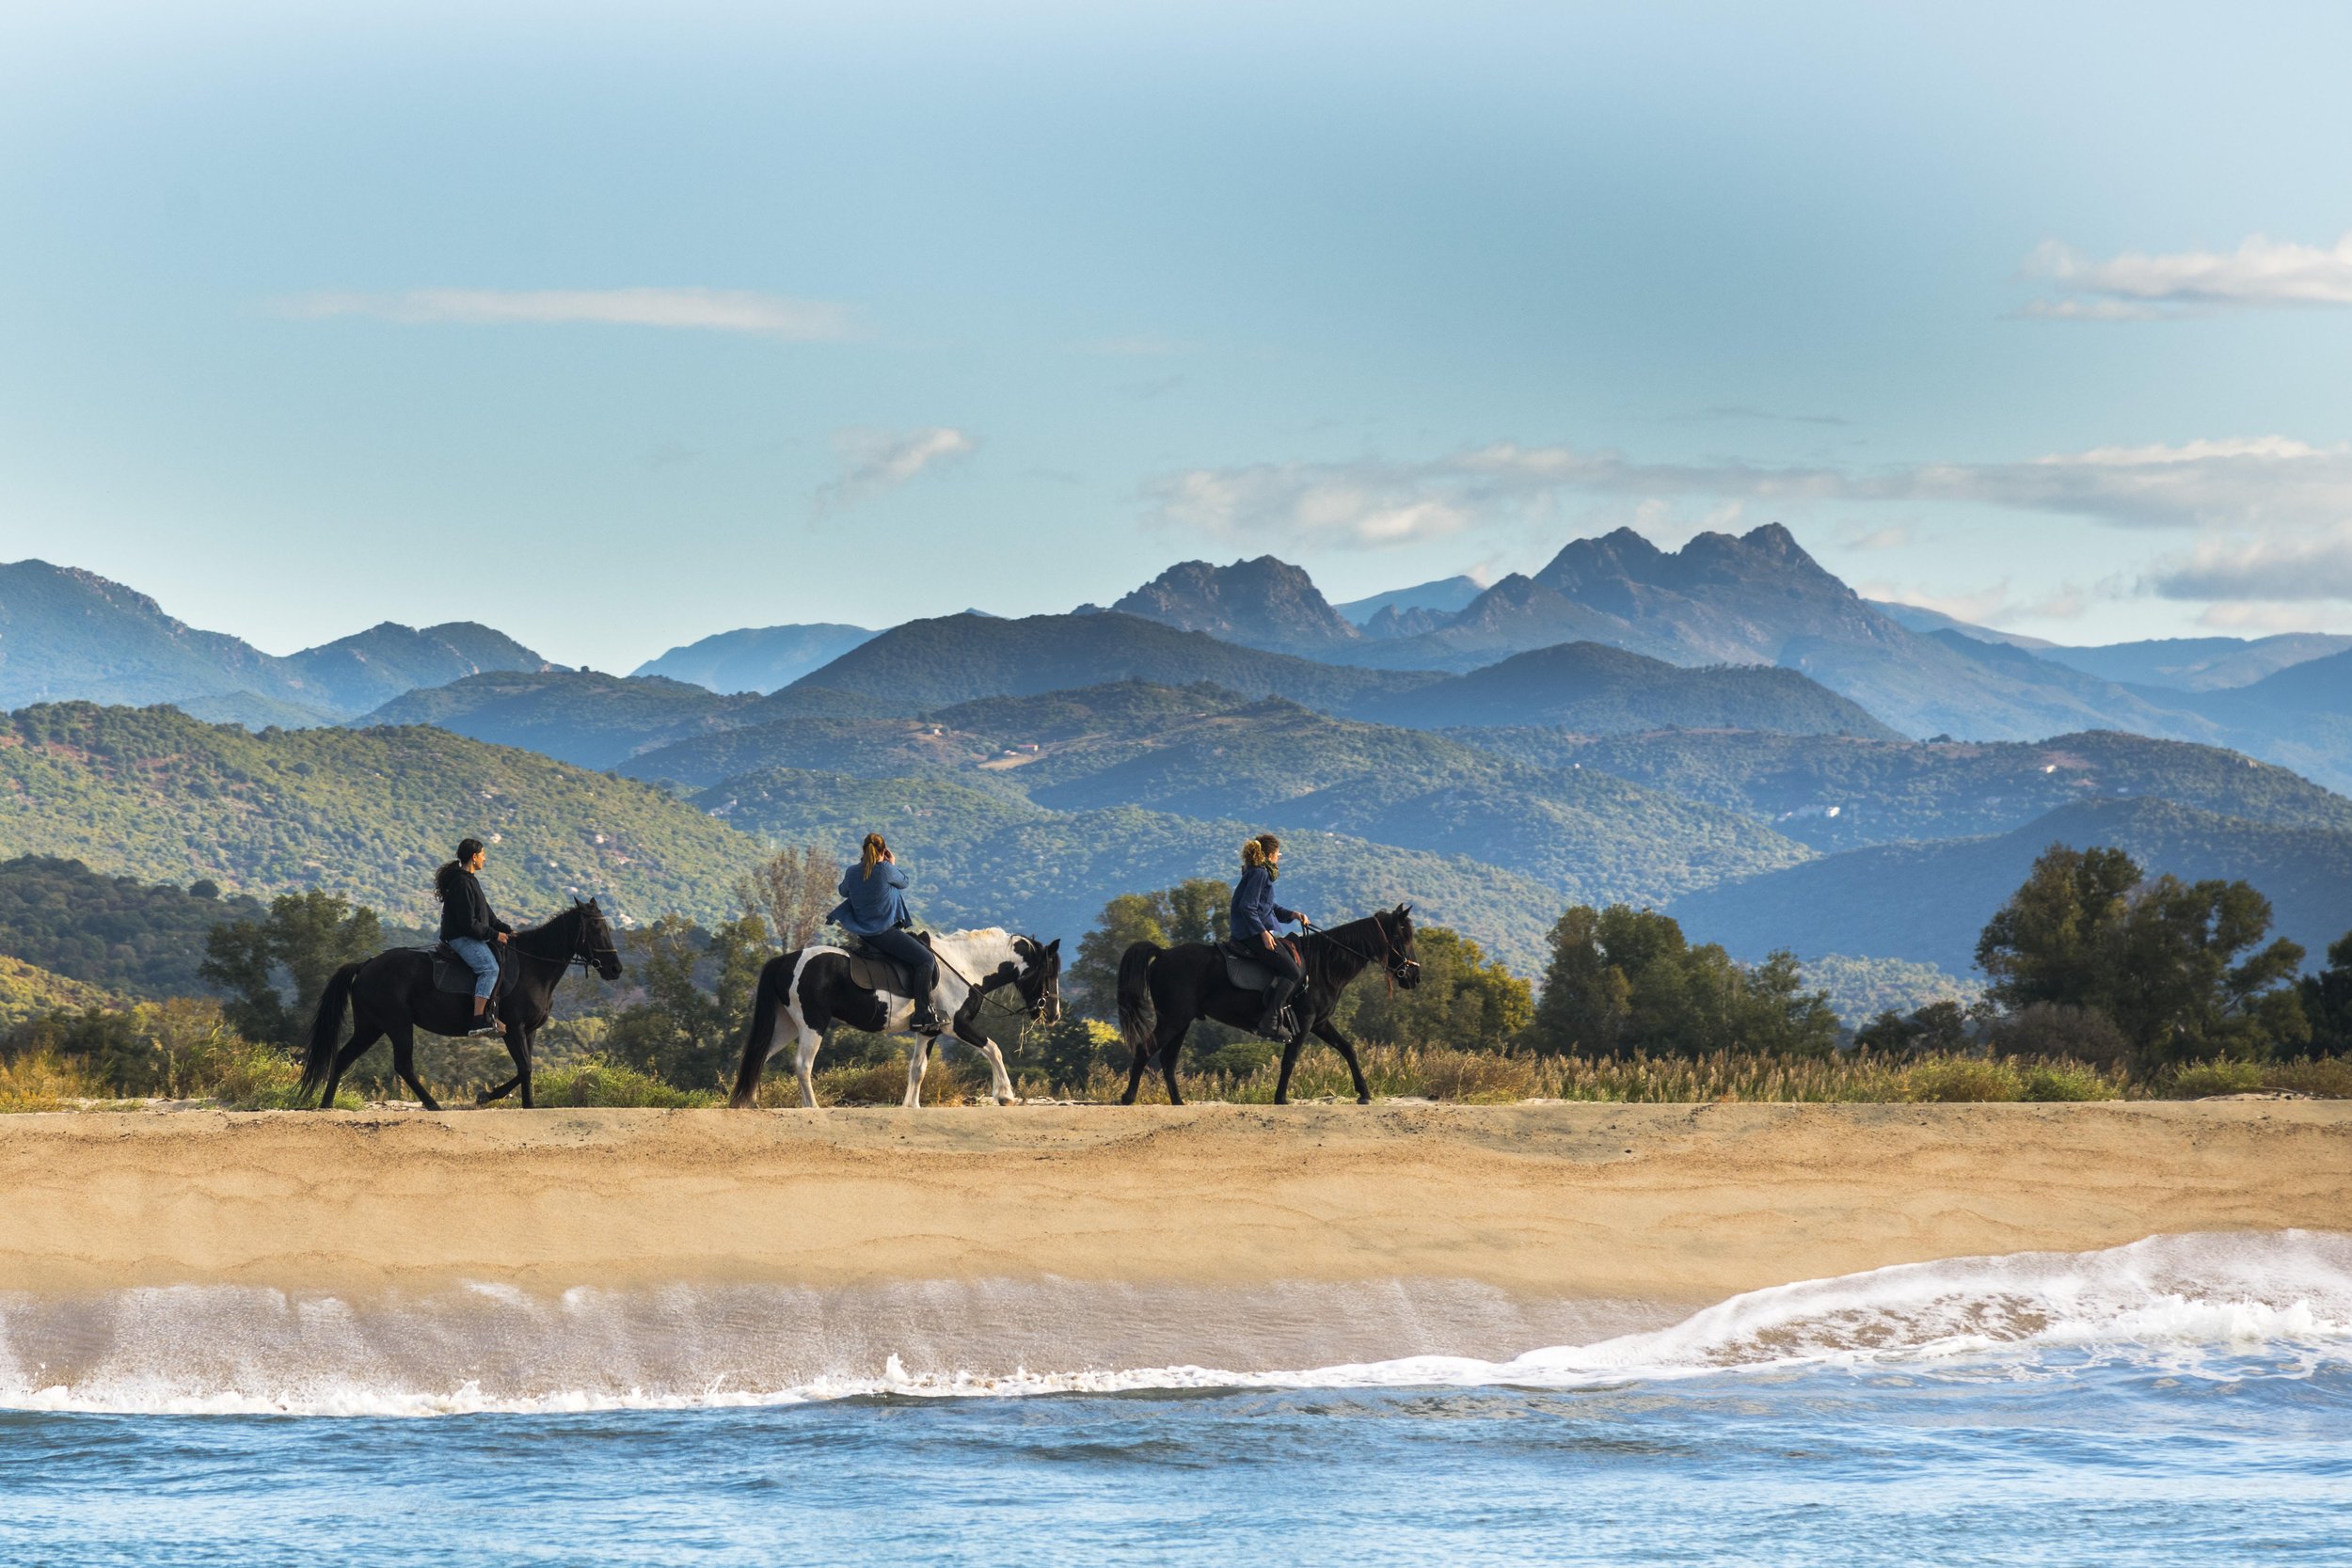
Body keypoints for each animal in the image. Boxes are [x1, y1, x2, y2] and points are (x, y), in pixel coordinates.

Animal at [300, 899, 624, 1111]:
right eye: (595, 929)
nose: (615, 969)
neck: (534, 966)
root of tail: (366, 964)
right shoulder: (513, 1029)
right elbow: (525, 1068)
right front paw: (502, 1100)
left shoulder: (529, 1031)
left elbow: (525, 1069)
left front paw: (505, 1100)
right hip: (397, 1024)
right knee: (403, 1064)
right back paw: (432, 1105)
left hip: (371, 1026)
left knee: (343, 1057)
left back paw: (326, 1105)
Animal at [729, 928, 1063, 1108]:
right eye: (1049, 973)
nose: (1053, 1014)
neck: (965, 967)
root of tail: (786, 959)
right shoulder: (958, 1026)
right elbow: (994, 1049)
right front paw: (1005, 1095)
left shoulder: (929, 1031)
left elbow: (918, 1069)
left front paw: (911, 1106)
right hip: (813, 1025)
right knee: (802, 1065)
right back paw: (812, 1108)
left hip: (787, 1026)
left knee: (759, 1057)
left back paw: (747, 1103)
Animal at [1115, 904, 1421, 1106]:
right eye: (1400, 938)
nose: (1415, 977)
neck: (1323, 966)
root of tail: (1164, 954)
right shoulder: (1305, 1022)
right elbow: (1290, 1060)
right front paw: (1281, 1098)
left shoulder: (1320, 1022)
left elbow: (1348, 1049)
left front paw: (1364, 1093)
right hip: (1173, 1019)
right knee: (1145, 1049)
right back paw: (1128, 1098)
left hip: (1182, 1021)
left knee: (1168, 1059)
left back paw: (1178, 1103)